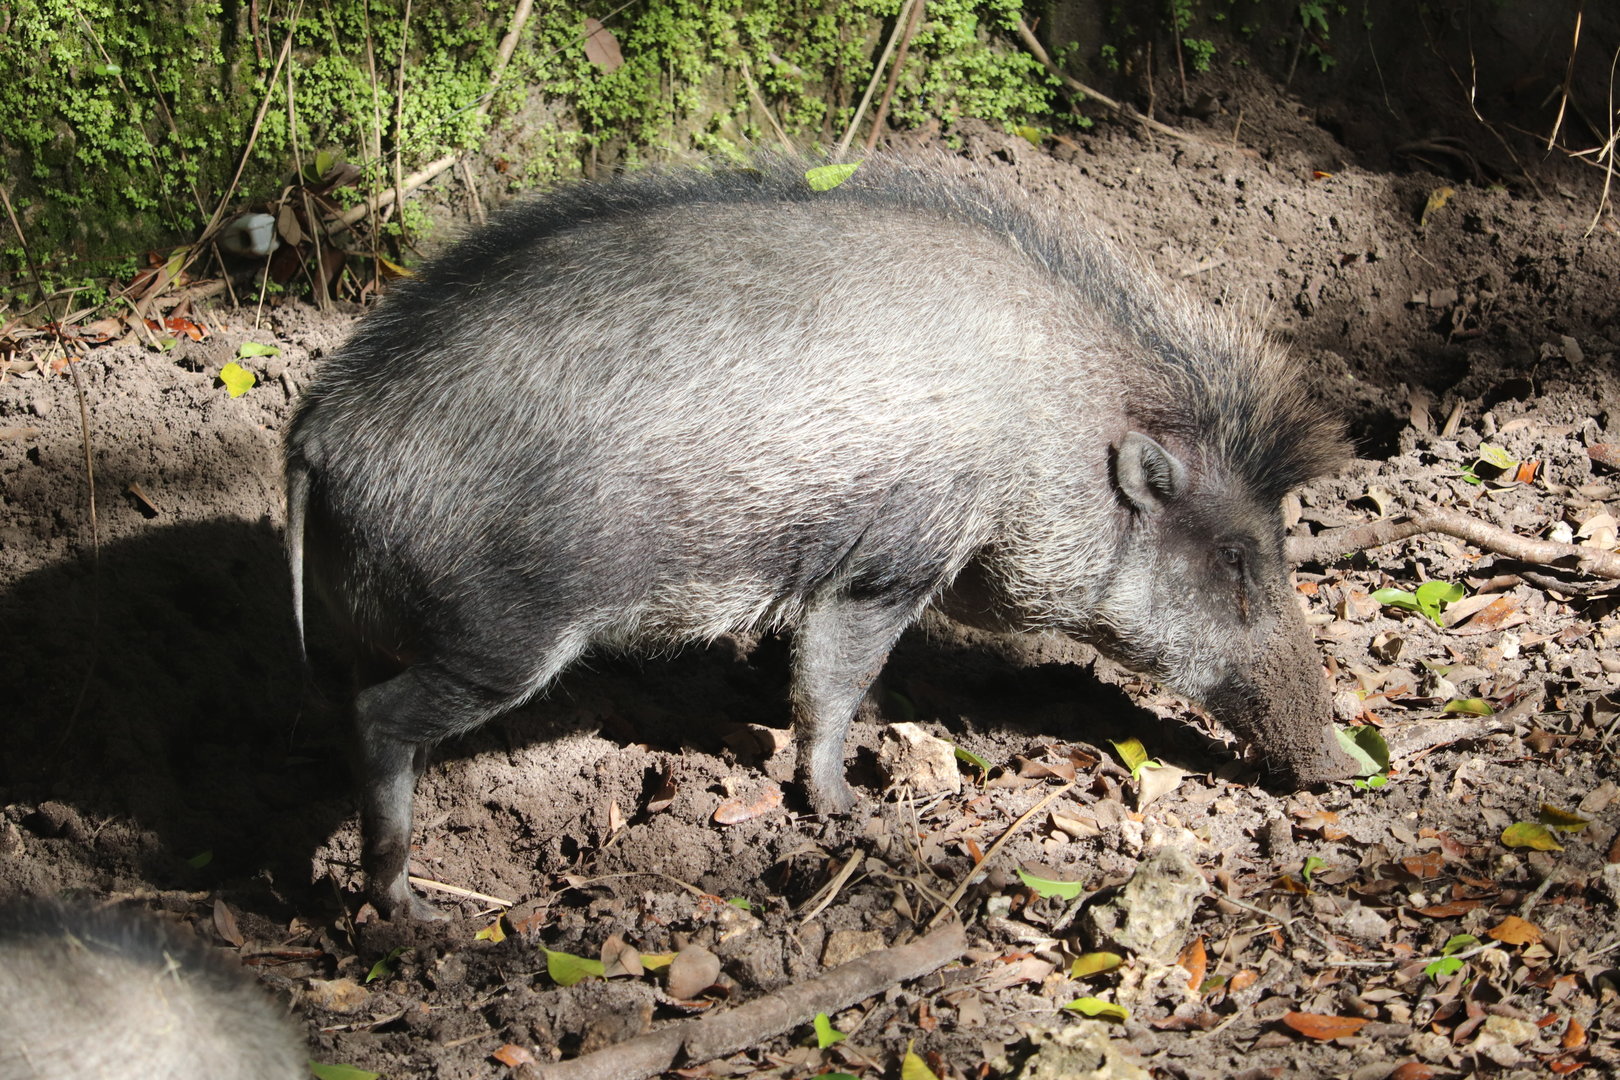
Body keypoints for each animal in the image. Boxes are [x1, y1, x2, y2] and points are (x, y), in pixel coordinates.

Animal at [285, 155, 1355, 919]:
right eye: (1237, 556)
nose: (1341, 764)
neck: (1047, 428)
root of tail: (319, 432)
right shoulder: (892, 557)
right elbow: (830, 681)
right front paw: (849, 810)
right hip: (500, 637)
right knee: (381, 721)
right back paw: (415, 915)